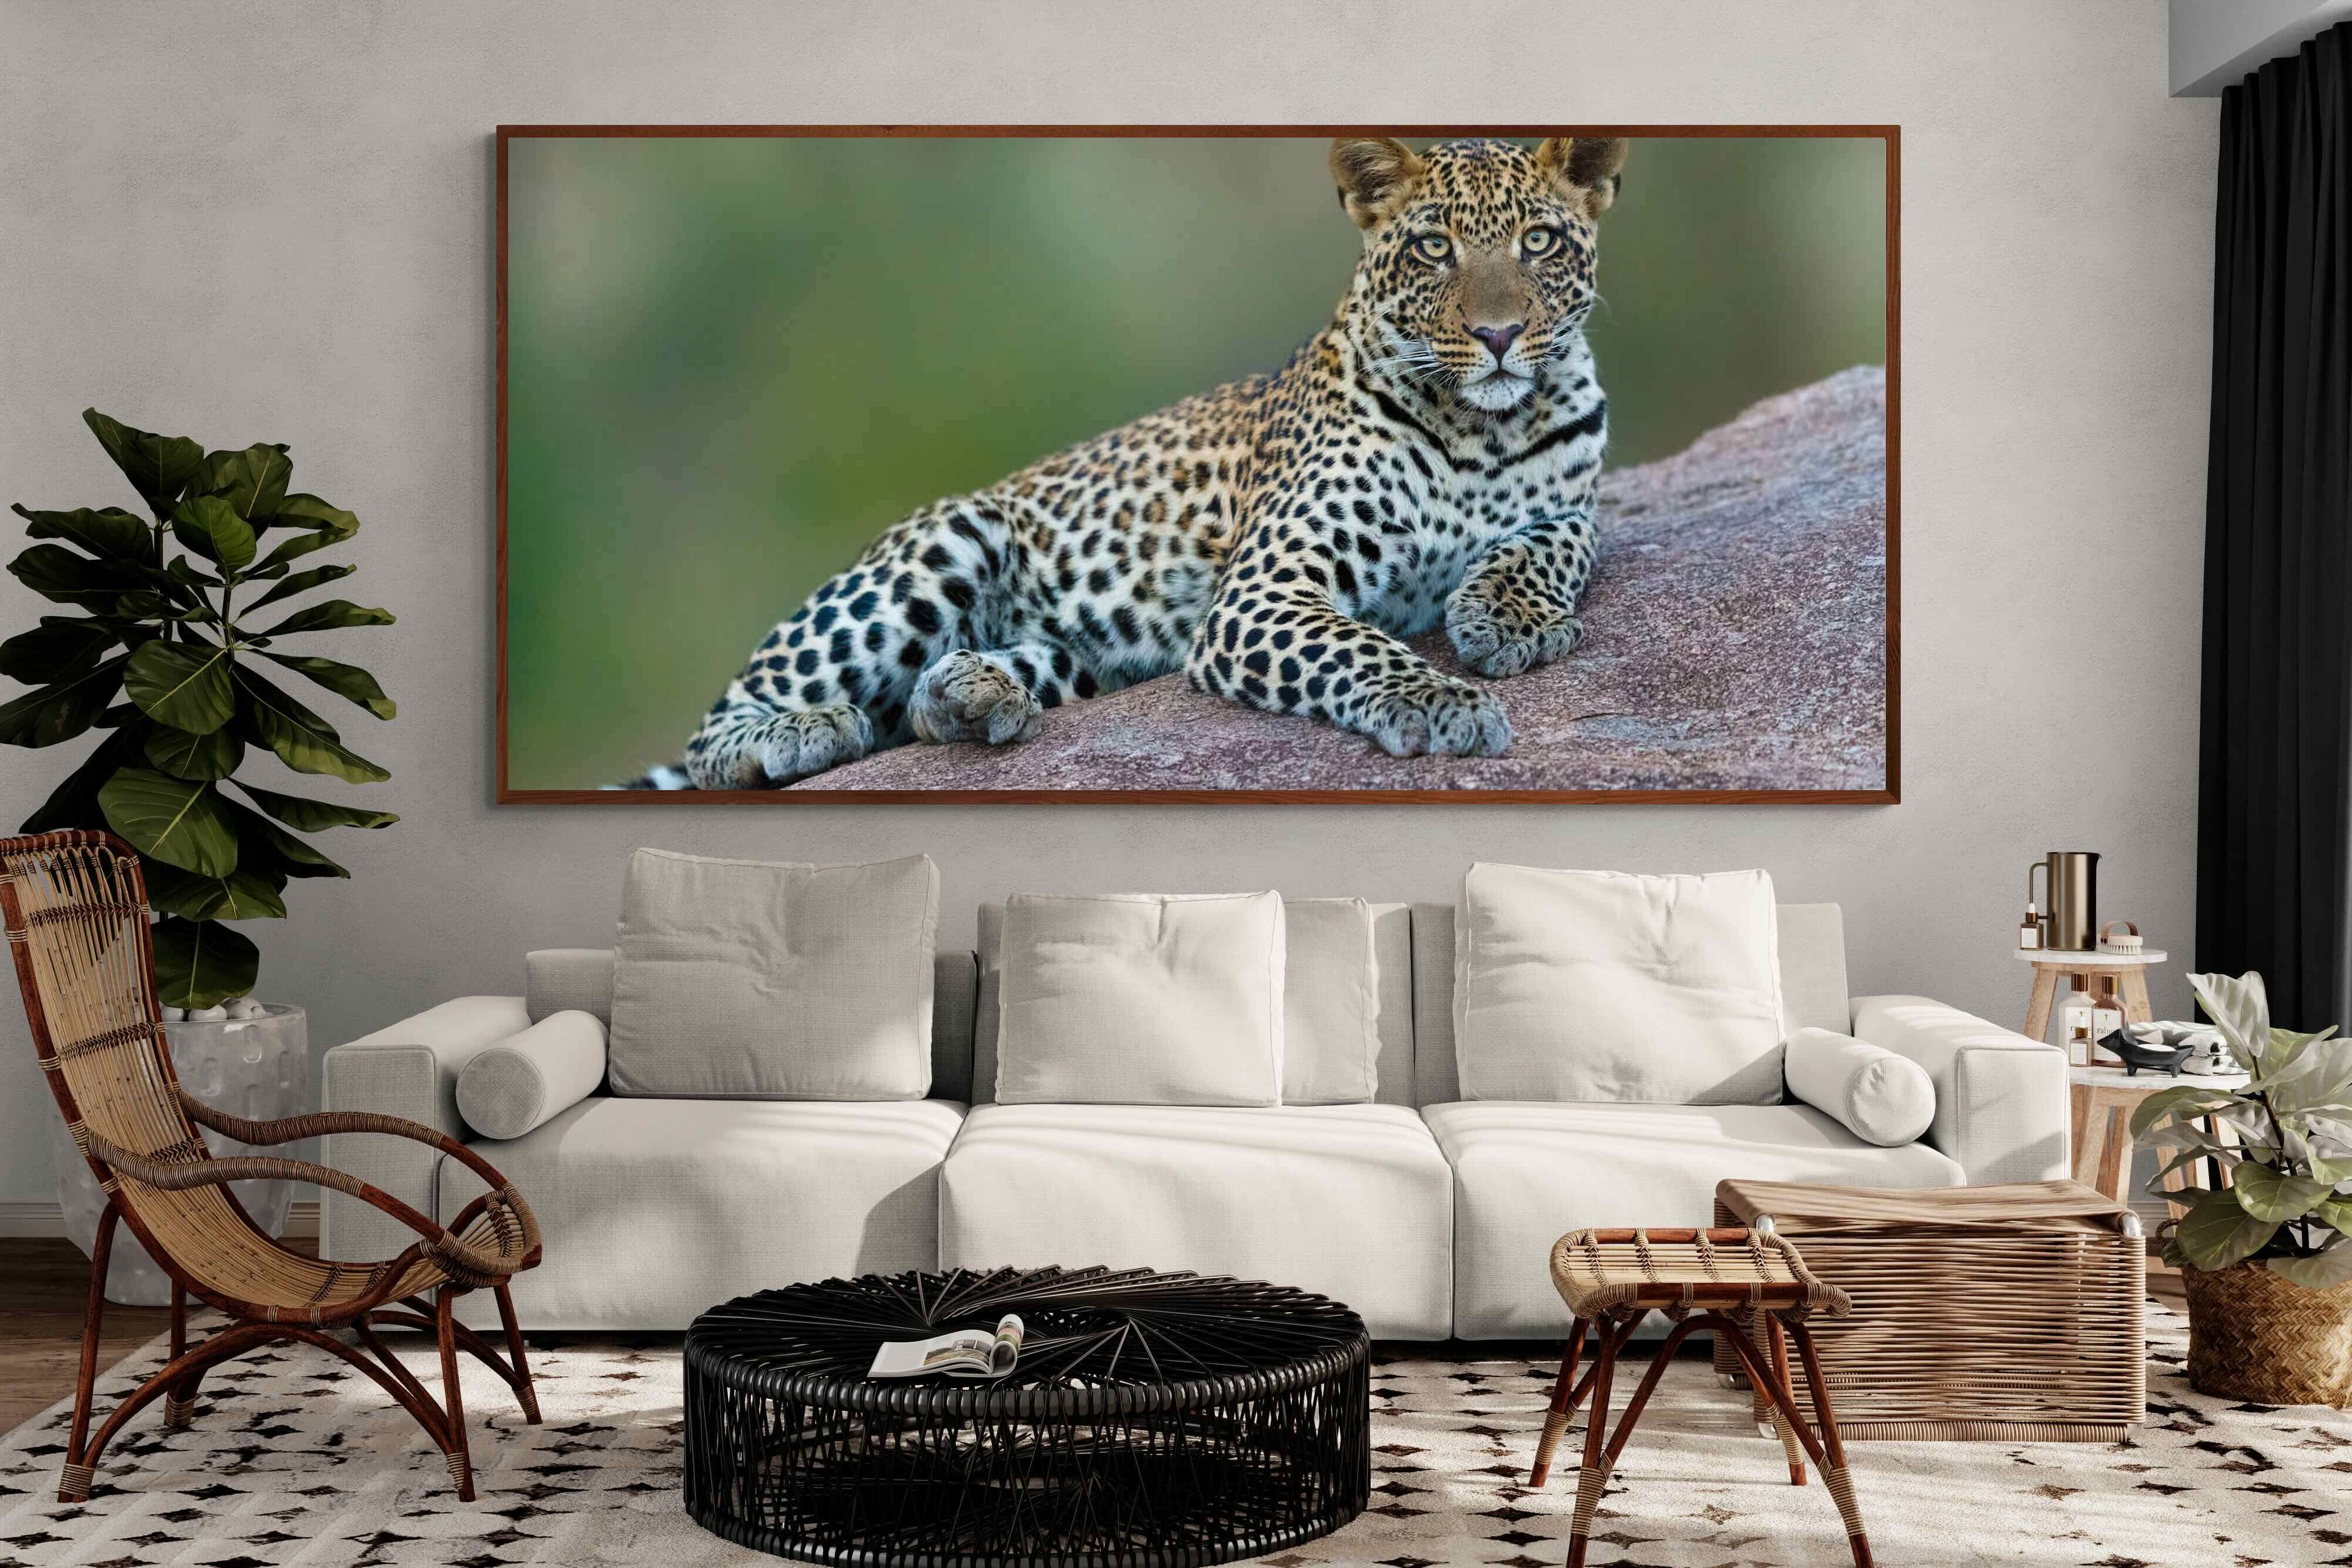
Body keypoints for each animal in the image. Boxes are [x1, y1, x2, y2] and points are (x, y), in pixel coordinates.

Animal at [623, 134, 1629, 789]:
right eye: (1433, 248)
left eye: (1539, 241)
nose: (1499, 335)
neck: (1484, 430)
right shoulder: (1263, 591)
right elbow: (1360, 646)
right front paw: (1441, 702)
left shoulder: (1574, 501)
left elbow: (1557, 542)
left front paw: (1508, 616)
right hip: (947, 541)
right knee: (723, 727)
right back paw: (804, 730)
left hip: (1084, 658)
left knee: (922, 703)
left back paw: (970, 694)